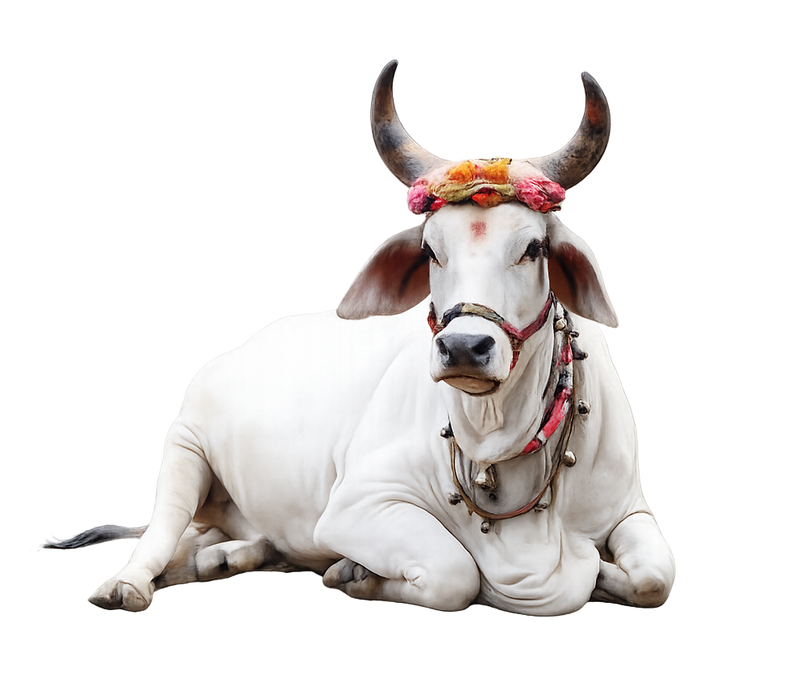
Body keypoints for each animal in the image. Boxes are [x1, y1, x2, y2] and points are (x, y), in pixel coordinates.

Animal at [30, 57, 678, 618]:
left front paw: (606, 574)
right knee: (161, 531)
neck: (497, 439)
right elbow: (456, 575)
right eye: (430, 249)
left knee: (214, 538)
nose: (464, 349)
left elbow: (655, 577)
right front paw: (354, 574)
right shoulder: (357, 505)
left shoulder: (633, 508)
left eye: (534, 248)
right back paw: (130, 583)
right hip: (182, 444)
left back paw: (224, 557)